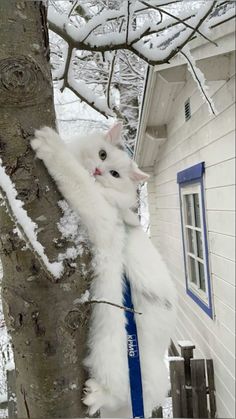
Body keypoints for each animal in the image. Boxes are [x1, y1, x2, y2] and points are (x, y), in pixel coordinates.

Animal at [30, 123, 175, 418]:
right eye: (102, 154)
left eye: (115, 174)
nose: (98, 170)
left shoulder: (101, 215)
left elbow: (75, 177)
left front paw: (48, 143)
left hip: (110, 351)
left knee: (115, 392)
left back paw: (94, 396)